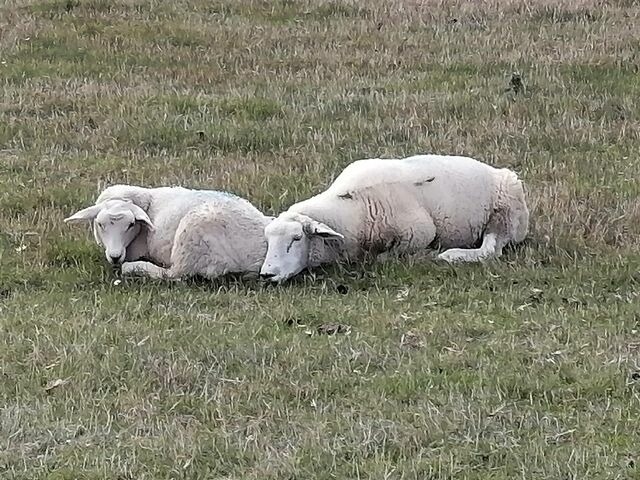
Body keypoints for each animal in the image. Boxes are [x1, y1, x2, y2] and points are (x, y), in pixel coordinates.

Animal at [64, 185, 272, 282]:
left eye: (131, 224)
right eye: (100, 224)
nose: (115, 256)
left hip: (192, 241)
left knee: (175, 274)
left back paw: (135, 268)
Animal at [258, 154, 528, 284]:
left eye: (296, 239)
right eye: (267, 241)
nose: (266, 275)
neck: (351, 208)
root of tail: (498, 171)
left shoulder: (419, 231)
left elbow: (384, 258)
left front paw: (424, 255)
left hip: (504, 213)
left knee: (491, 249)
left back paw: (451, 255)